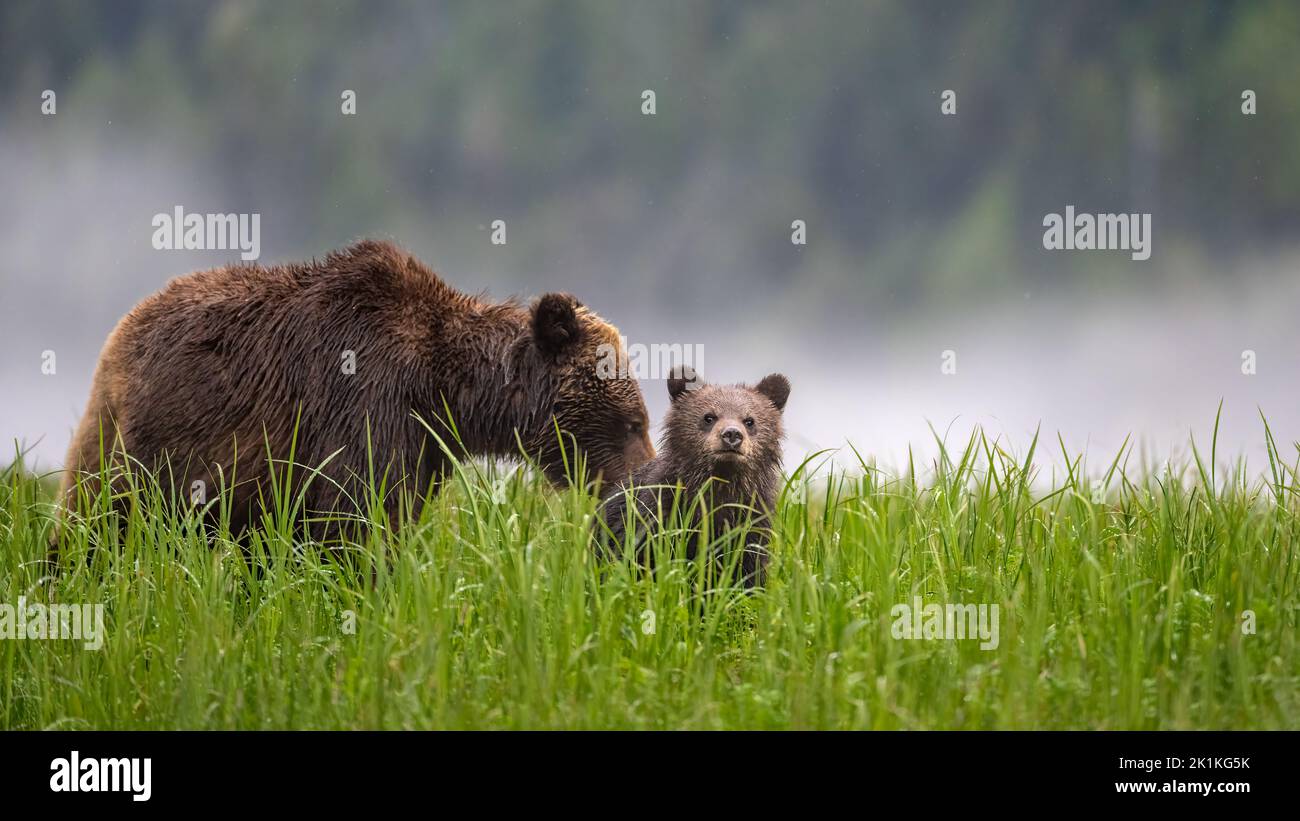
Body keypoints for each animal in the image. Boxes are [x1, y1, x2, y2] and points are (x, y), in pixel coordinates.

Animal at [58, 239, 650, 537]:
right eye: (634, 422)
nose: (644, 481)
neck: (445, 390)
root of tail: (119, 333)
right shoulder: (367, 405)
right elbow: (354, 520)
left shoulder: (424, 445)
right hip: (145, 446)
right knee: (95, 530)